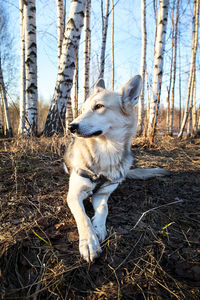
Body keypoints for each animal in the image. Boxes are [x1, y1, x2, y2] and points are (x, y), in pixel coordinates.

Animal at [63, 75, 168, 262]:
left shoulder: (103, 194)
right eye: (82, 109)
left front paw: (98, 228)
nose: (71, 127)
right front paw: (89, 242)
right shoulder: (74, 194)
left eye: (98, 106)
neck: (106, 151)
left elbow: (103, 209)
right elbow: (83, 217)